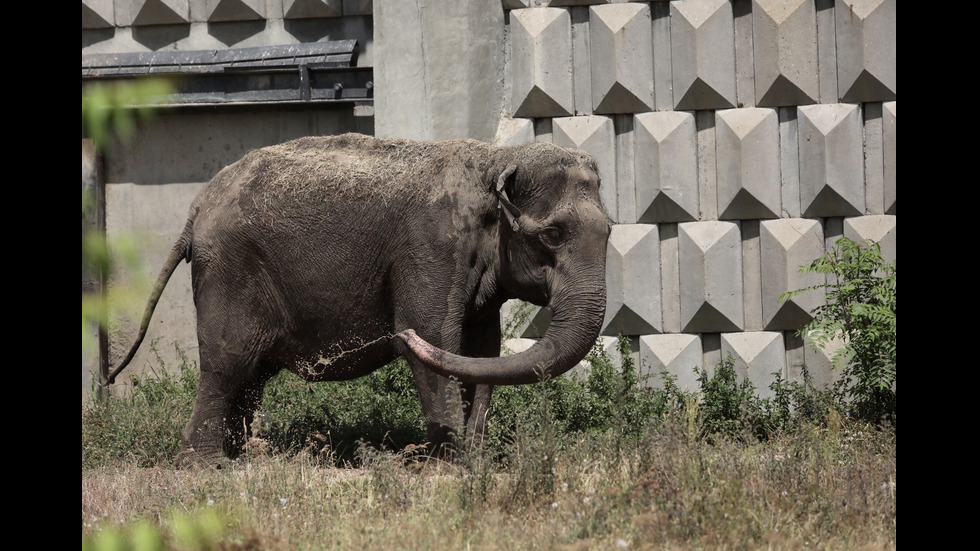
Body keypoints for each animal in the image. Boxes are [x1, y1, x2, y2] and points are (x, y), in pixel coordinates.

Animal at [109, 132, 612, 468]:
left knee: (252, 373)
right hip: (229, 269)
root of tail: (198, 205)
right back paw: (207, 467)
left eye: (609, 230)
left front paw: (474, 464)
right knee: (227, 362)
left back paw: (245, 457)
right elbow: (433, 335)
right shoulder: (432, 246)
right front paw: (447, 469)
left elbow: (479, 352)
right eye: (552, 234)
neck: (498, 158)